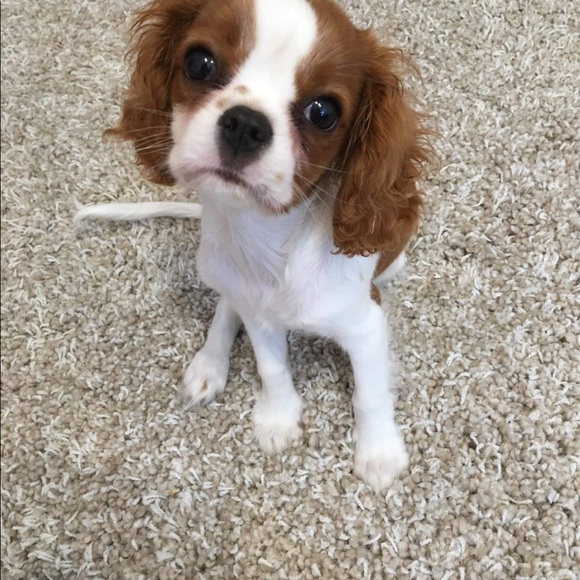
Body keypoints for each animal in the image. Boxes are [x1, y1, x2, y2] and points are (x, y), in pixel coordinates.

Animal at [75, 0, 434, 491]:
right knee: (226, 306)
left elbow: (371, 393)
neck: (265, 241)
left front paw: (378, 453)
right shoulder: (259, 316)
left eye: (323, 112)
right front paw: (279, 418)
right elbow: (273, 367)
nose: (246, 124)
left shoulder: (366, 325)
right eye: (199, 63)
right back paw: (209, 365)